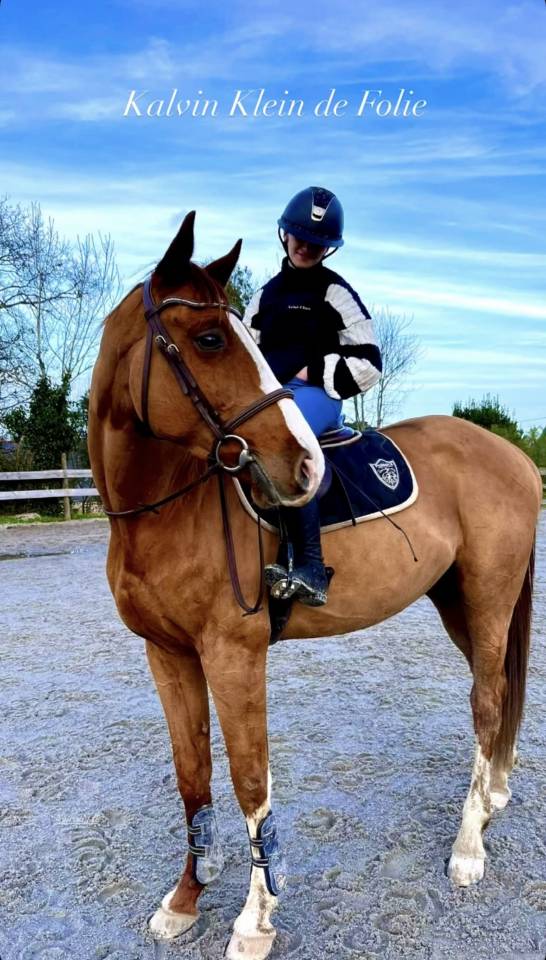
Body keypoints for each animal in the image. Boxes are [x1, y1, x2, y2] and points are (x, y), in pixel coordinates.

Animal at [88, 212, 542, 960]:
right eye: (209, 338)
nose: (303, 467)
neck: (162, 510)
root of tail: (511, 455)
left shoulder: (234, 656)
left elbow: (250, 782)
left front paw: (255, 920)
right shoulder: (168, 654)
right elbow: (192, 776)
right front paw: (185, 901)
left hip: (488, 598)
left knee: (485, 702)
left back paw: (468, 848)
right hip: (458, 602)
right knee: (498, 689)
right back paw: (492, 801)